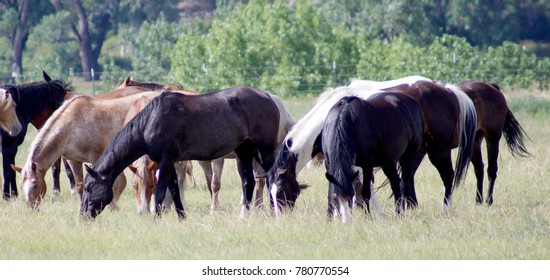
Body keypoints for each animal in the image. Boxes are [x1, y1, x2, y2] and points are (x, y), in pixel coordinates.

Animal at [0, 71, 69, 199]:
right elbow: (8, 171)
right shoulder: (9, 146)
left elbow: (11, 170)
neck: (19, 105)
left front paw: (14, 194)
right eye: (63, 94)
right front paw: (7, 196)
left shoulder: (10, 147)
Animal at [14, 91, 166, 209]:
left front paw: (112, 206)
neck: (71, 125)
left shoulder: (96, 157)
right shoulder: (73, 160)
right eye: (21, 187)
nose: (30, 207)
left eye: (34, 185)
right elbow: (80, 185)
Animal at [81, 86, 284, 220]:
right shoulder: (167, 162)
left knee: (270, 178)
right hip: (244, 151)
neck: (152, 121)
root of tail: (268, 97)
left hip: (265, 150)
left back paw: (275, 211)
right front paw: (181, 217)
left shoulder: (167, 160)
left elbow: (161, 192)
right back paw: (244, 216)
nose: (82, 215)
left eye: (89, 187)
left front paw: (157, 219)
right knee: (248, 182)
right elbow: (174, 190)